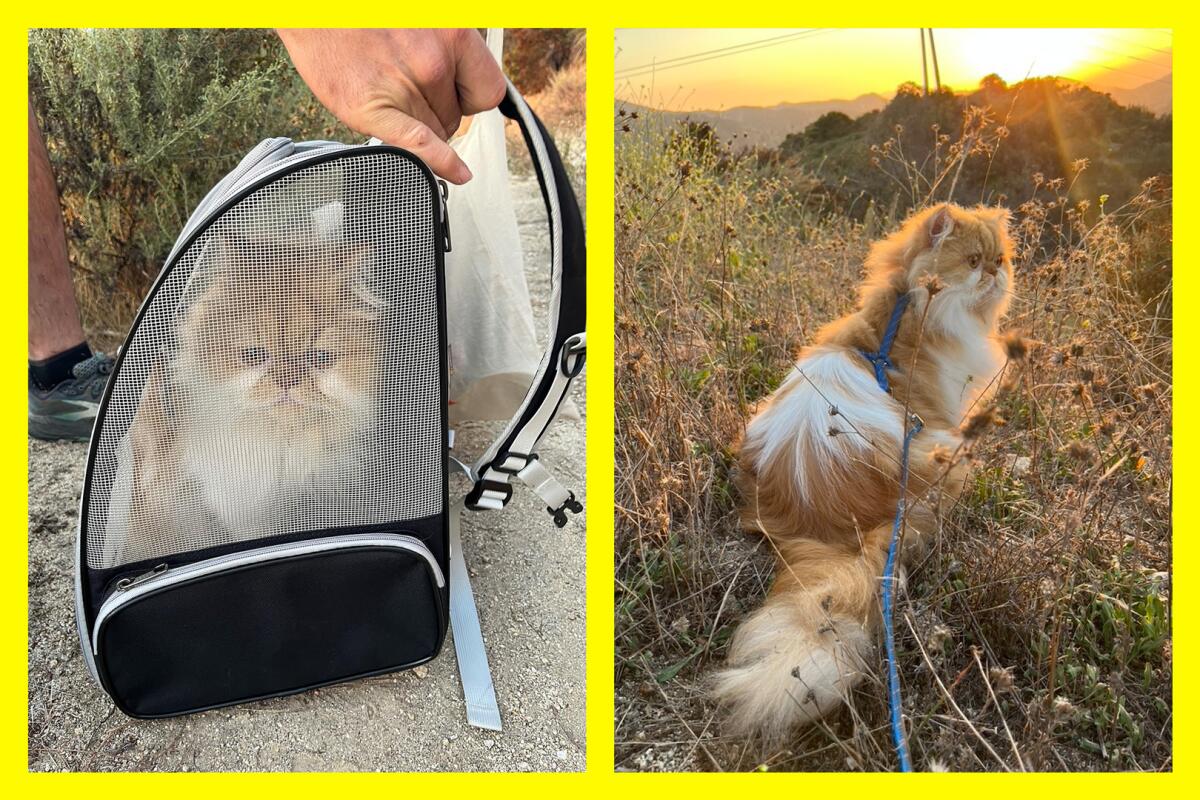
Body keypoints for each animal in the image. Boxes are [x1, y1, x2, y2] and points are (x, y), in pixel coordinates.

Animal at [715, 203, 1017, 743]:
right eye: (974, 261)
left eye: (999, 259)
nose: (995, 272)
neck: (909, 312)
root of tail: (818, 517)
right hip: (943, 457)